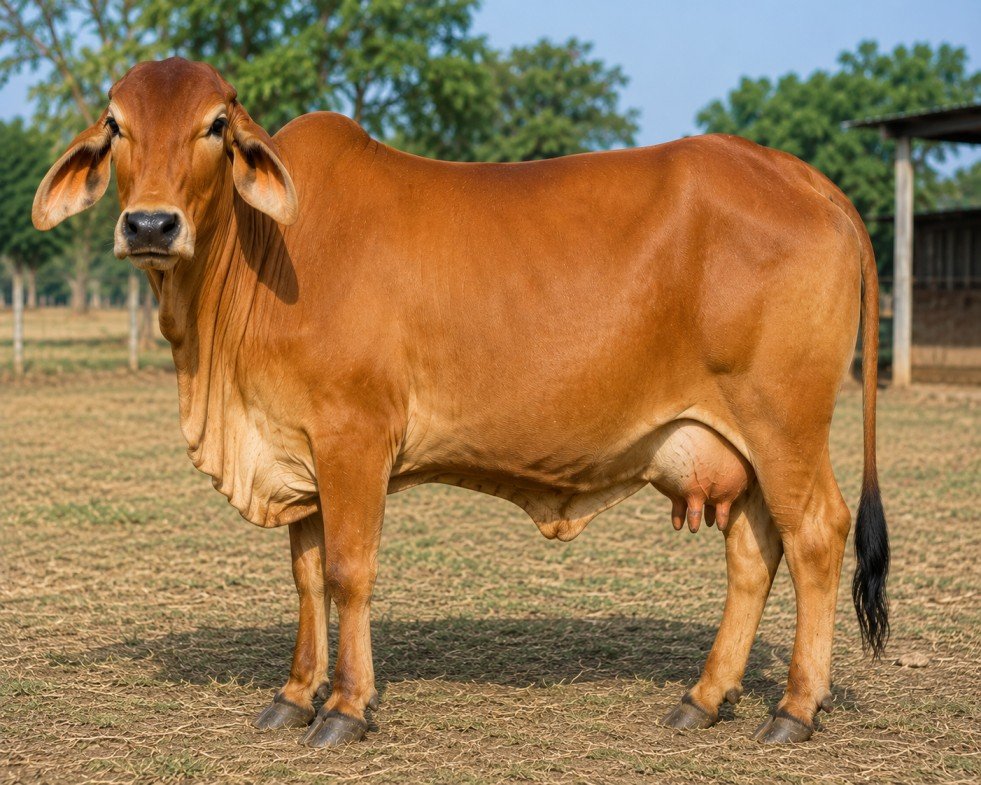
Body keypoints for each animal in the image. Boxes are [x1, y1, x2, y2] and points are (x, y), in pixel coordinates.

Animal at [34, 58, 889, 748]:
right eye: (116, 124)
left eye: (215, 124)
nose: (150, 223)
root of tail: (805, 178)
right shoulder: (295, 447)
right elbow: (306, 576)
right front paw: (293, 695)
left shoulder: (353, 437)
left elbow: (348, 570)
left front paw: (344, 707)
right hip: (737, 442)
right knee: (752, 552)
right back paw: (703, 697)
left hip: (784, 423)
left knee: (816, 534)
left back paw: (795, 708)